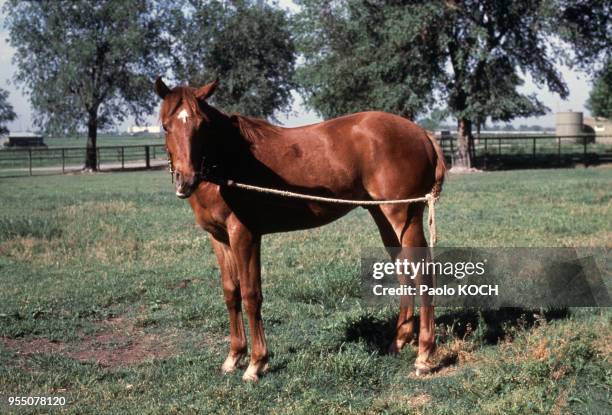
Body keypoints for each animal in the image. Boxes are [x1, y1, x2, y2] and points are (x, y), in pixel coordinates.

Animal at [155, 76, 444, 382]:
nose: (185, 181)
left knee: (423, 274)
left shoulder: (245, 236)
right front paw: (233, 357)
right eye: (166, 126)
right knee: (404, 272)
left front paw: (256, 363)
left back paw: (424, 356)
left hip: (405, 217)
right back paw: (398, 342)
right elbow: (231, 293)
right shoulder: (219, 238)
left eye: (202, 125)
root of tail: (421, 133)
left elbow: (251, 294)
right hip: (384, 216)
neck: (228, 161)